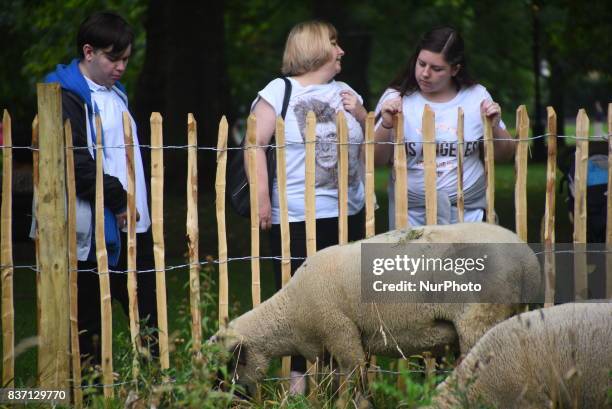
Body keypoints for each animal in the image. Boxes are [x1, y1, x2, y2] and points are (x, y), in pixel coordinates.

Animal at [210, 222, 540, 394]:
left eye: (227, 364)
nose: (218, 398)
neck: (290, 314)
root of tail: (527, 259)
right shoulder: (337, 349)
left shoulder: (341, 334)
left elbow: (354, 388)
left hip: (480, 318)